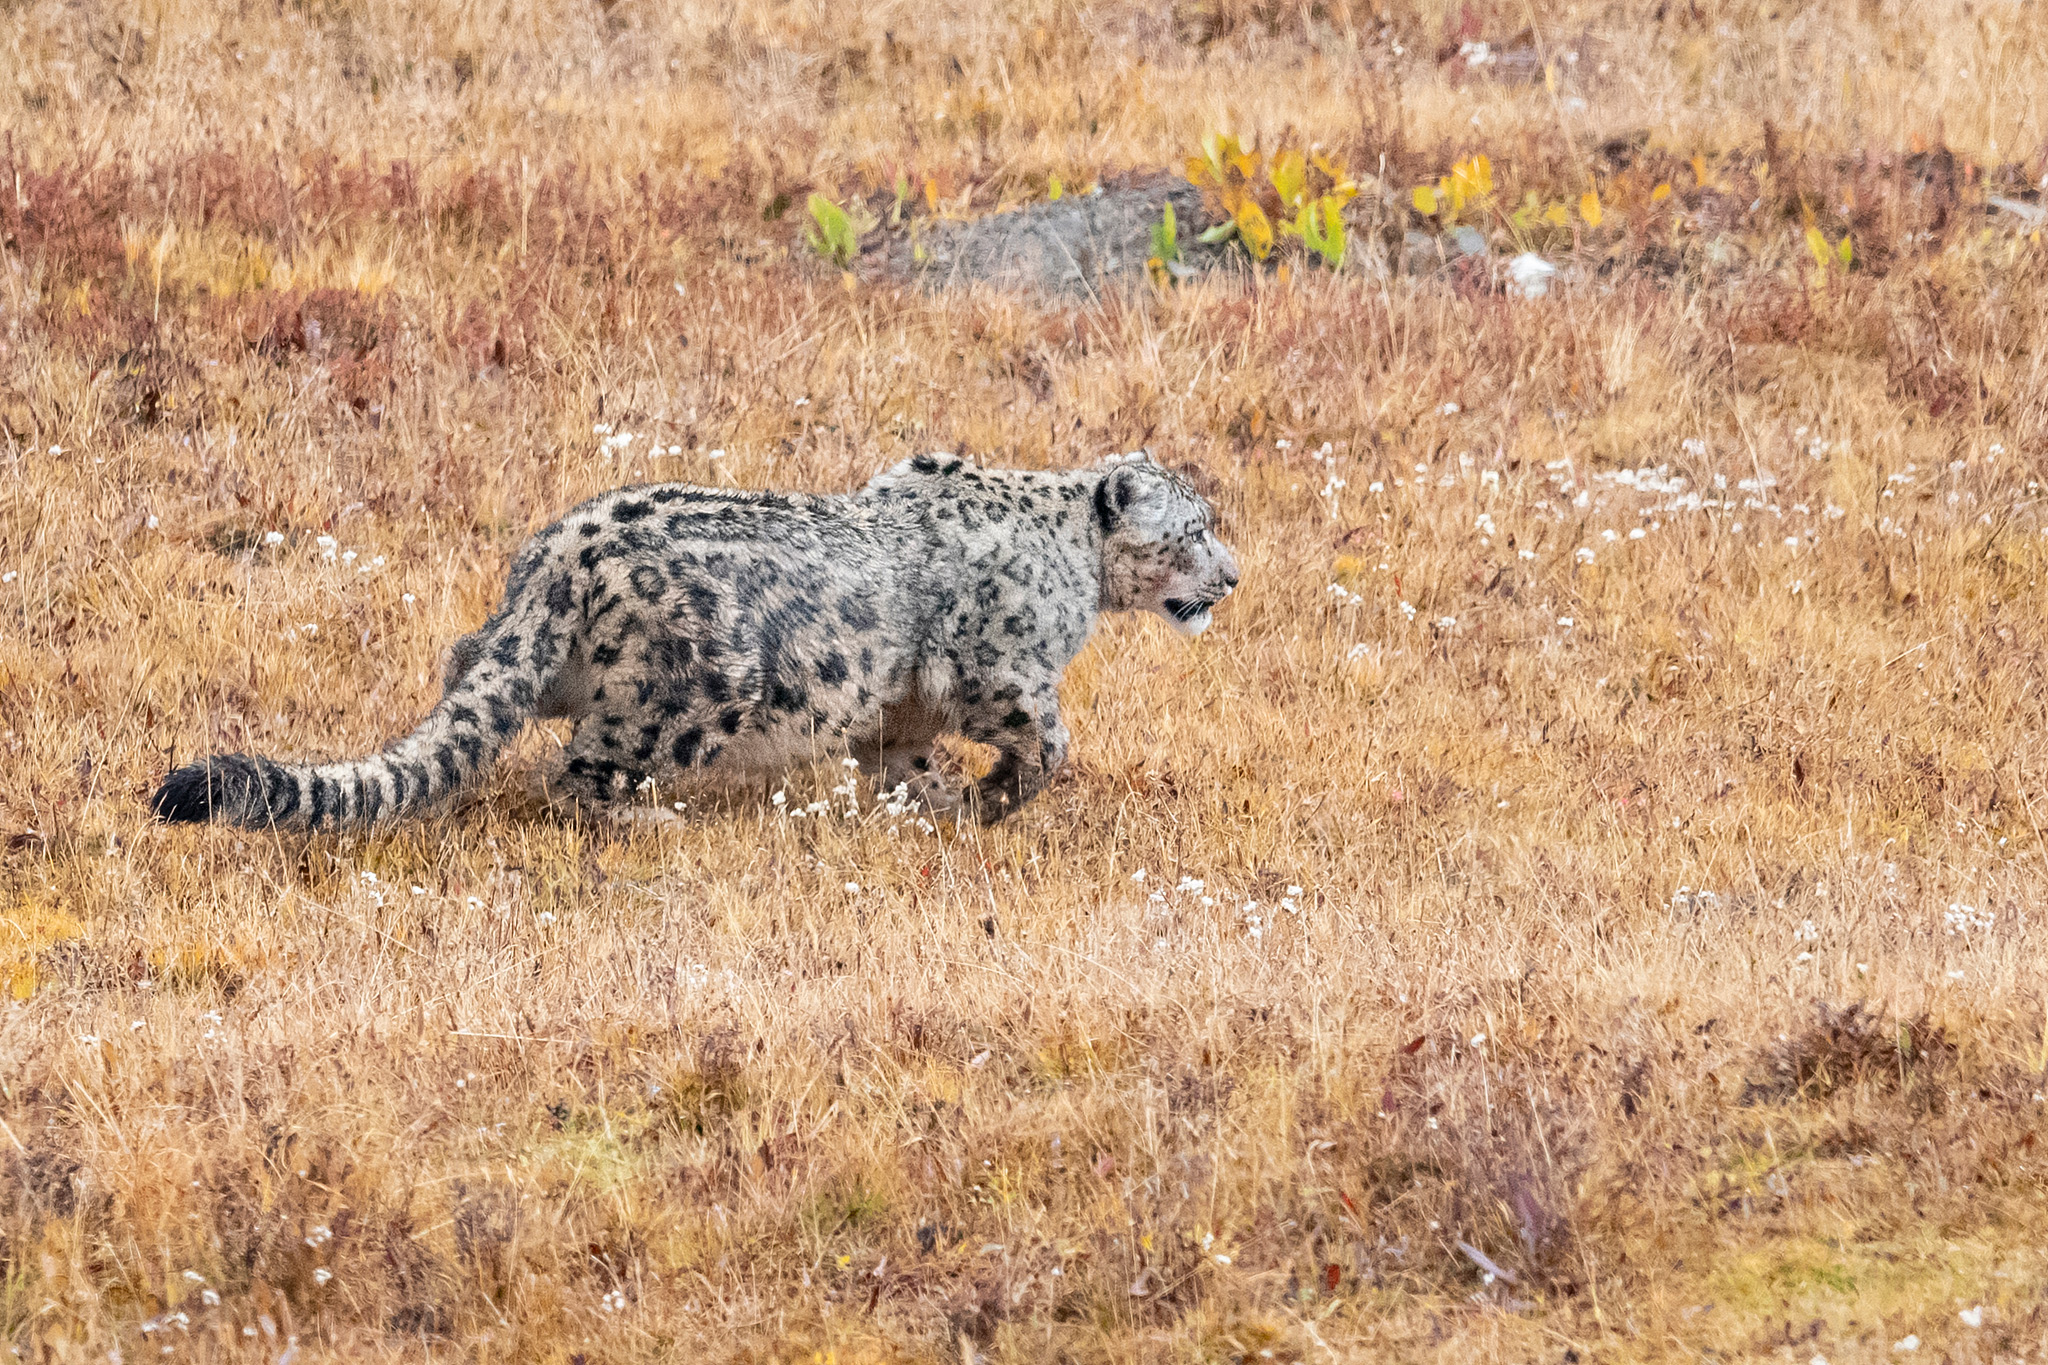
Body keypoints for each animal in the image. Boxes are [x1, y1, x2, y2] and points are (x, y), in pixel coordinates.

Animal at [150, 450, 1239, 831]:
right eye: (1194, 528)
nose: (1231, 575)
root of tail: (564, 549)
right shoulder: (1001, 673)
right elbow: (1048, 741)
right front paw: (994, 798)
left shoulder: (900, 709)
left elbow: (904, 756)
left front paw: (933, 804)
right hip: (696, 694)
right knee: (577, 771)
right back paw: (651, 822)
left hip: (530, 658)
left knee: (471, 682)